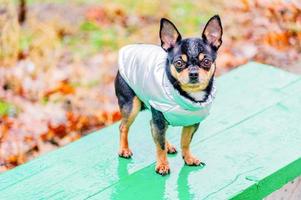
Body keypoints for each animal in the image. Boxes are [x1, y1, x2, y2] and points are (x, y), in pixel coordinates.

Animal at [113, 15, 221, 175]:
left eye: (206, 61)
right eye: (179, 63)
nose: (193, 73)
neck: (189, 97)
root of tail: (130, 48)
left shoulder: (191, 123)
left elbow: (185, 141)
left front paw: (188, 158)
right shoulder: (158, 119)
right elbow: (160, 146)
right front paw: (162, 165)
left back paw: (169, 145)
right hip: (131, 106)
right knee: (123, 127)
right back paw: (124, 149)